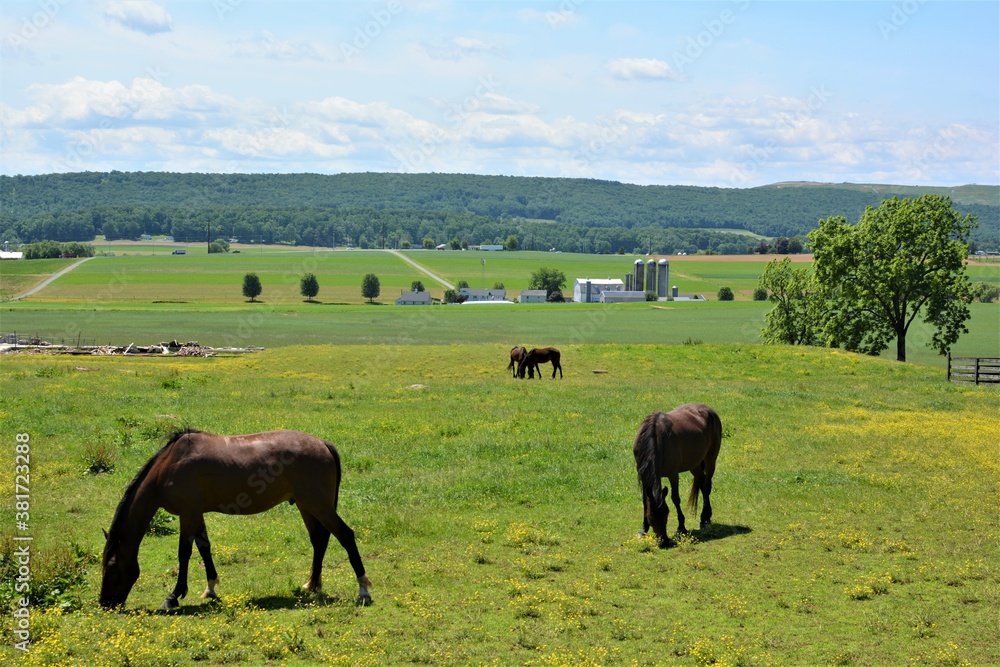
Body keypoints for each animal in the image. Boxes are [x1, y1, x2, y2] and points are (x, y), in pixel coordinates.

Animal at [99, 434, 374, 612]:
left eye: (112, 567)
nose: (105, 603)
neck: (170, 464)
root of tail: (324, 445)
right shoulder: (196, 514)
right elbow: (204, 547)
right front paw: (210, 588)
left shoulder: (187, 513)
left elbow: (184, 553)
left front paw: (173, 596)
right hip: (306, 505)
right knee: (319, 539)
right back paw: (312, 584)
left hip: (317, 505)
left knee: (346, 535)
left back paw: (363, 590)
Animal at [632, 404, 720, 544]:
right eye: (651, 517)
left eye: (666, 513)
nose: (664, 541)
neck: (655, 438)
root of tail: (708, 409)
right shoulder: (643, 475)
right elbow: (645, 501)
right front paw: (643, 530)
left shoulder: (673, 474)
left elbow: (675, 498)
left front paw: (681, 527)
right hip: (694, 464)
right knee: (702, 482)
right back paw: (703, 518)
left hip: (710, 459)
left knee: (707, 486)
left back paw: (705, 519)